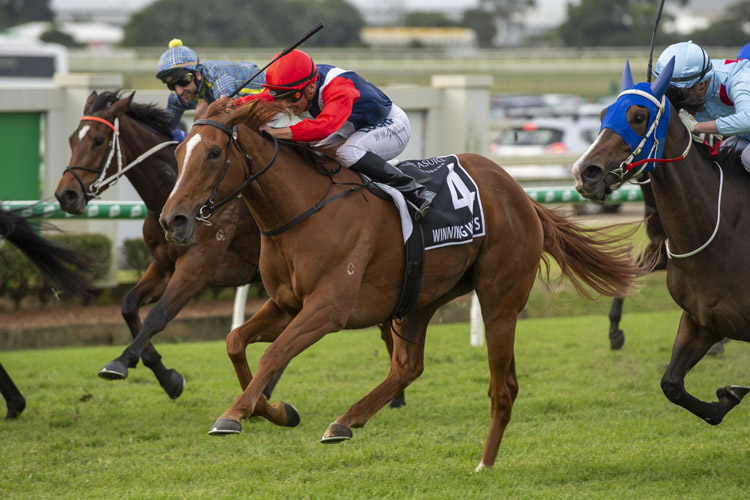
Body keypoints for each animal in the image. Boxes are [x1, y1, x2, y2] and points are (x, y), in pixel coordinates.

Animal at [159, 96, 640, 468]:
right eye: (179, 156)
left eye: (215, 153)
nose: (172, 220)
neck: (303, 209)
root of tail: (520, 194)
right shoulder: (285, 304)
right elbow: (235, 341)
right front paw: (273, 410)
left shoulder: (328, 309)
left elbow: (274, 353)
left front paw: (234, 414)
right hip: (421, 297)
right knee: (409, 366)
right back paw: (345, 422)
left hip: (499, 301)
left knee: (501, 388)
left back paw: (484, 463)